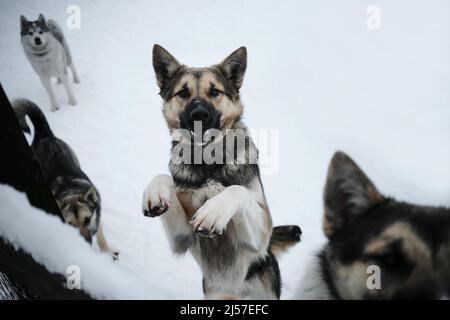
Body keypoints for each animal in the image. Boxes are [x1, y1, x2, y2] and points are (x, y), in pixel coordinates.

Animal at [13, 99, 117, 258]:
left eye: (87, 219)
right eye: (70, 224)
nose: (85, 243)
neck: (71, 192)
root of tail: (44, 135)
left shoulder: (98, 219)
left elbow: (101, 239)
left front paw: (108, 253)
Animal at [142, 45, 300, 300]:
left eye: (214, 91)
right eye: (183, 93)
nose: (199, 114)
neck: (208, 162)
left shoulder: (258, 235)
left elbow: (237, 191)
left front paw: (214, 211)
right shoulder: (183, 237)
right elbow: (163, 177)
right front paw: (156, 191)